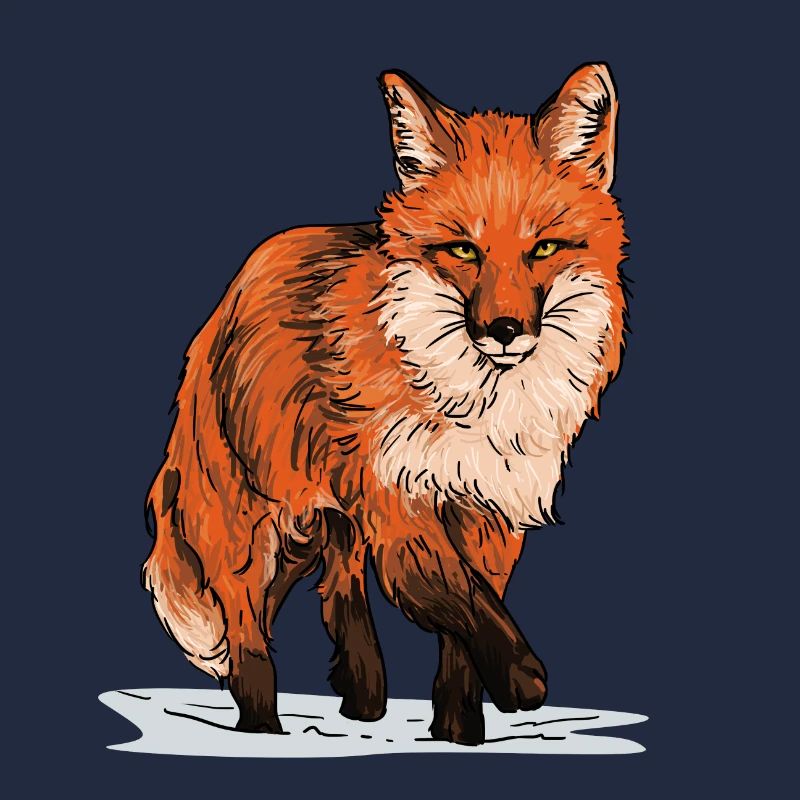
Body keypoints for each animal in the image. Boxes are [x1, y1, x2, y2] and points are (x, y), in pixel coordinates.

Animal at [142, 62, 628, 746]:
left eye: (544, 249)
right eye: (463, 250)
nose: (505, 330)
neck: (473, 408)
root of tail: (230, 293)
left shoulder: (489, 512)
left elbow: (465, 636)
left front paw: (458, 734)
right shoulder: (400, 502)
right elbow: (465, 601)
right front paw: (522, 680)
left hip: (324, 520)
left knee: (337, 590)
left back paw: (362, 698)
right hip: (255, 524)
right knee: (247, 632)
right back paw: (263, 729)